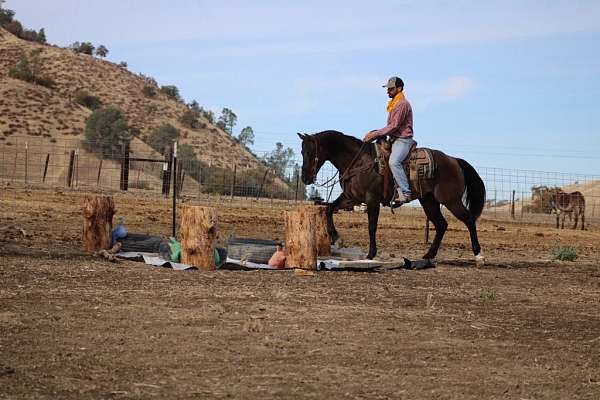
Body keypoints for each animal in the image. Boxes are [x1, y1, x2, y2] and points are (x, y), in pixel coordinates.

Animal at [296, 130, 488, 264]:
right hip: (429, 201)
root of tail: (454, 160)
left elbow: (371, 227)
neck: (360, 162)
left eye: (311, 152)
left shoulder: (372, 200)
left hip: (450, 200)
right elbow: (329, 209)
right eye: (302, 152)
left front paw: (370, 254)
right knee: (441, 225)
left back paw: (479, 255)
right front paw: (336, 237)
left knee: (469, 220)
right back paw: (428, 255)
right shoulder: (351, 198)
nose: (305, 178)